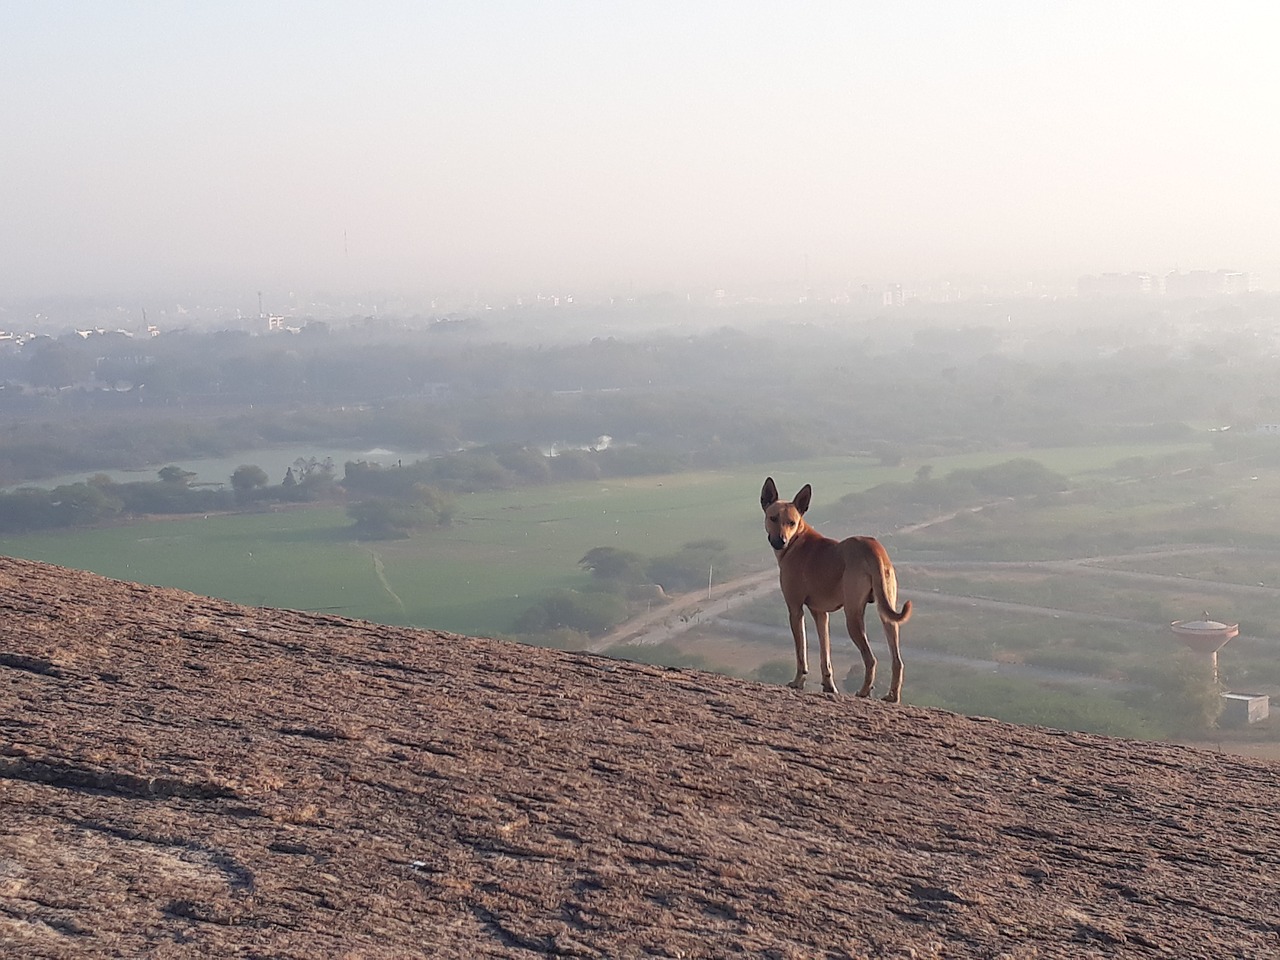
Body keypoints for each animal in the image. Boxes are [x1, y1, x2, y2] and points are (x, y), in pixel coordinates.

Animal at [757, 478, 911, 701]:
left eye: (791, 522)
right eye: (773, 518)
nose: (781, 541)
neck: (797, 540)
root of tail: (873, 549)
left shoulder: (795, 610)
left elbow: (801, 652)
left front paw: (798, 682)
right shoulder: (820, 613)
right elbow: (825, 654)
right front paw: (829, 685)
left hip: (853, 616)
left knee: (870, 659)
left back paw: (864, 691)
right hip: (887, 615)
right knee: (897, 661)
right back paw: (892, 696)